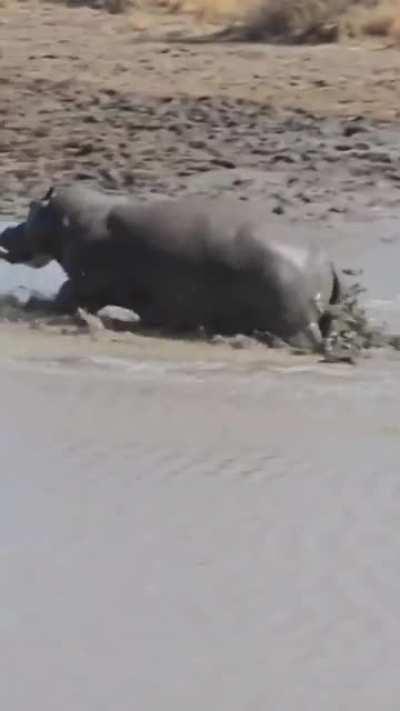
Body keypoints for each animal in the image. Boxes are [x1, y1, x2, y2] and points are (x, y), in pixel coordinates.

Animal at [0, 183, 341, 348]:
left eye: (31, 206)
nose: (6, 229)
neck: (67, 220)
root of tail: (326, 262)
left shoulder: (82, 283)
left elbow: (62, 297)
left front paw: (29, 303)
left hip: (294, 323)